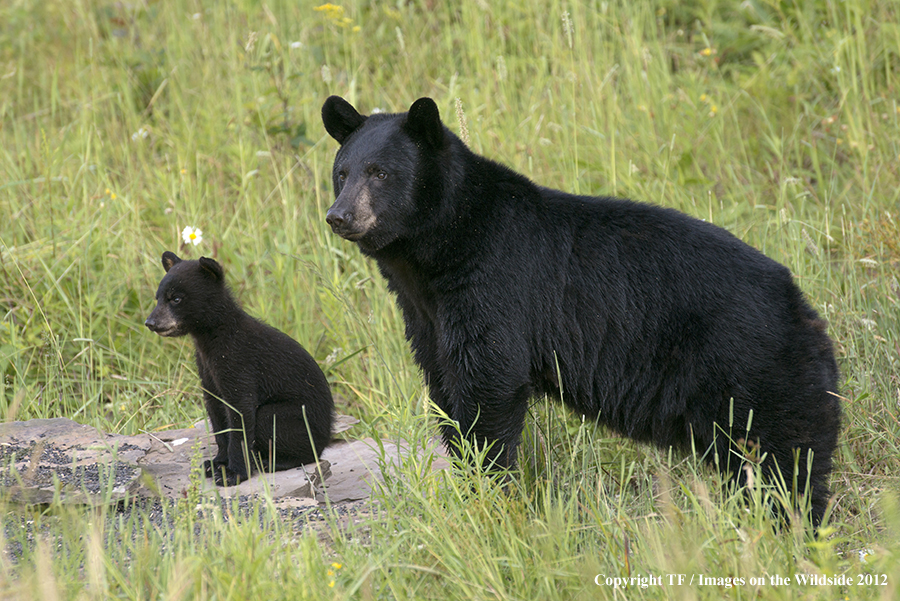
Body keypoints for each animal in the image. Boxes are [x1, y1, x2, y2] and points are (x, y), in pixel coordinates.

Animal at [147, 251, 334, 486]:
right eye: (158, 298)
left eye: (176, 298)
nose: (150, 322)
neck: (211, 339)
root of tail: (328, 435)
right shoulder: (207, 369)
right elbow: (217, 415)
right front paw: (216, 463)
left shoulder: (238, 362)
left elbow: (240, 413)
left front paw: (233, 473)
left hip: (300, 422)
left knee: (273, 423)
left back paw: (272, 461)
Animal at [320, 95, 840, 524]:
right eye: (342, 172)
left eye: (380, 173)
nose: (339, 216)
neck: (435, 254)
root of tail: (802, 306)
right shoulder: (427, 315)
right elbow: (445, 387)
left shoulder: (494, 282)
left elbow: (489, 383)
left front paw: (490, 489)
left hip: (751, 369)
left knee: (784, 458)